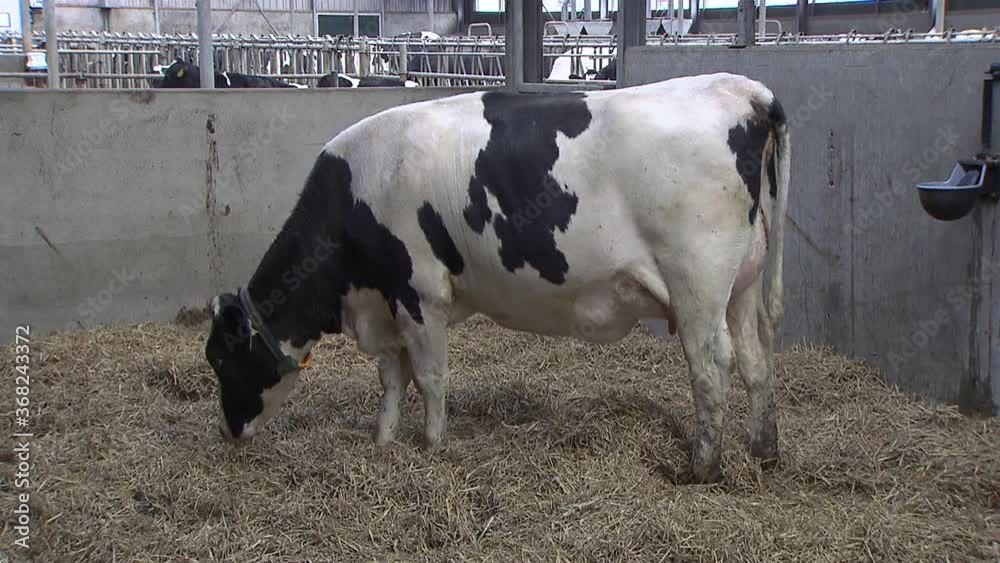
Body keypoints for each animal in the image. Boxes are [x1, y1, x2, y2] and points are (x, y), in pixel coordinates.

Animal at [204, 73, 791, 484]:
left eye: (220, 360)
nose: (228, 431)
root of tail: (744, 90)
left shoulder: (420, 293)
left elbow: (430, 377)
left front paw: (433, 445)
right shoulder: (387, 302)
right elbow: (392, 378)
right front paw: (384, 441)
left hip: (698, 285)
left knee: (711, 366)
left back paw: (702, 468)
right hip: (741, 283)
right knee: (757, 360)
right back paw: (763, 452)